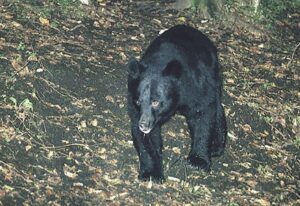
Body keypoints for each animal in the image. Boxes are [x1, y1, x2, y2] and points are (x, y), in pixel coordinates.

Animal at [127, 24, 227, 182]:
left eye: (155, 102)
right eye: (138, 101)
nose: (144, 124)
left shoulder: (196, 87)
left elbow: (203, 114)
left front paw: (198, 160)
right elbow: (146, 139)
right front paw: (151, 173)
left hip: (213, 72)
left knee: (217, 105)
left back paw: (216, 146)